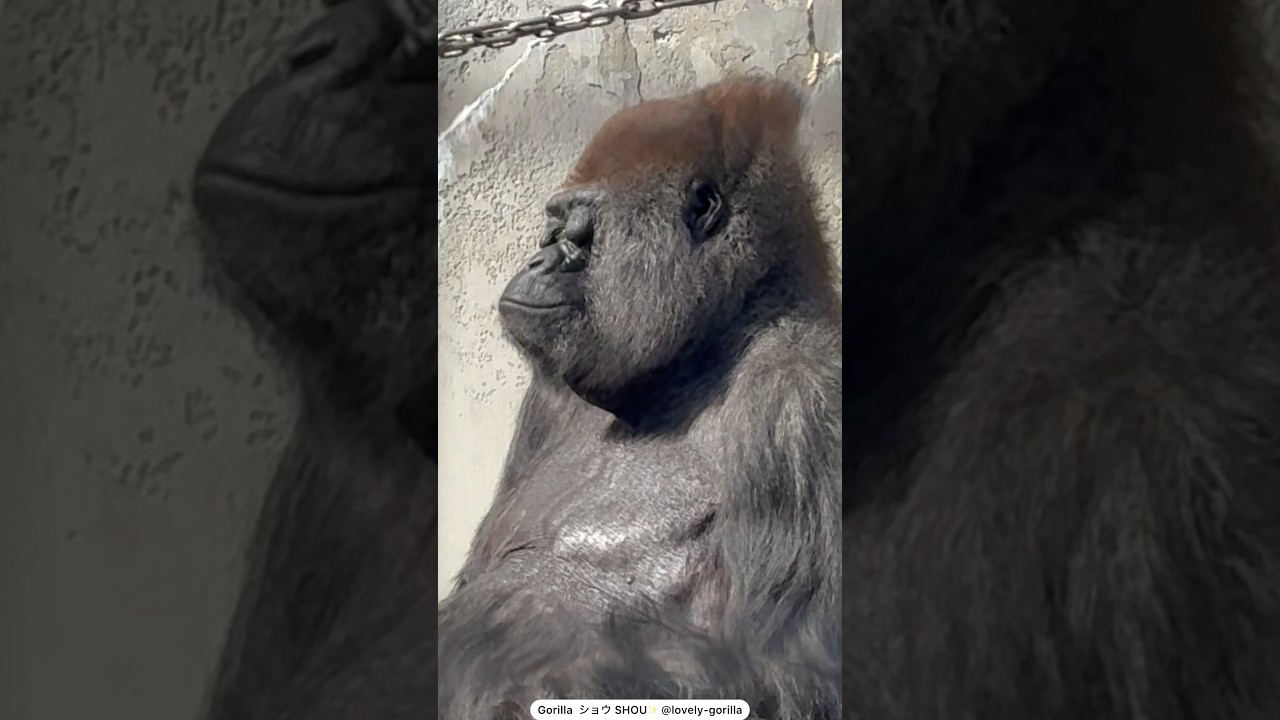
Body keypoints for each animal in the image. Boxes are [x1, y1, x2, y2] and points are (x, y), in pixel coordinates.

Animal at [437, 77, 843, 720]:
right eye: (552, 226)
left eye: (580, 229)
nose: (535, 257)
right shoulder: (548, 398)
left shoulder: (806, 396)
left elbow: (798, 671)